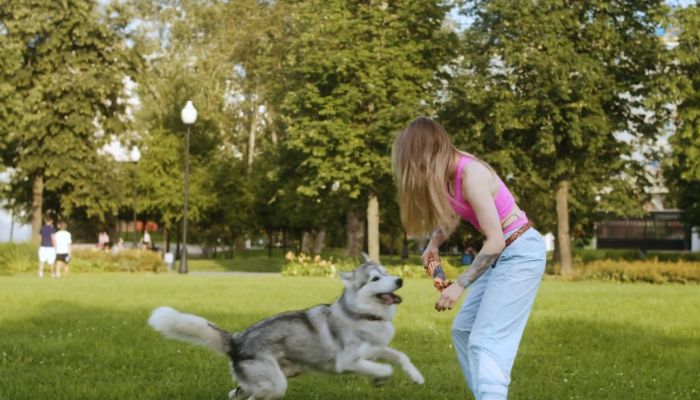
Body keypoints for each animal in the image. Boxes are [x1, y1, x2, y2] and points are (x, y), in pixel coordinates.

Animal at [150, 256, 424, 400]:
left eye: (387, 272)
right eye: (375, 279)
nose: (400, 279)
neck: (366, 315)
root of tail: (237, 340)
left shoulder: (377, 349)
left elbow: (401, 356)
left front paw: (415, 376)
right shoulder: (347, 361)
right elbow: (386, 367)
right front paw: (381, 376)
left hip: (277, 376)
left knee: (236, 393)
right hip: (275, 384)